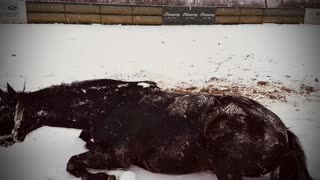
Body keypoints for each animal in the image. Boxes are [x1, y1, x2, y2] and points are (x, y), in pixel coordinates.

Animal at [0, 79, 312, 180]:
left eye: (1, 109)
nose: (5, 142)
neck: (105, 105)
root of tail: (282, 131)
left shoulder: (117, 155)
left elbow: (72, 162)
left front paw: (103, 177)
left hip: (226, 163)